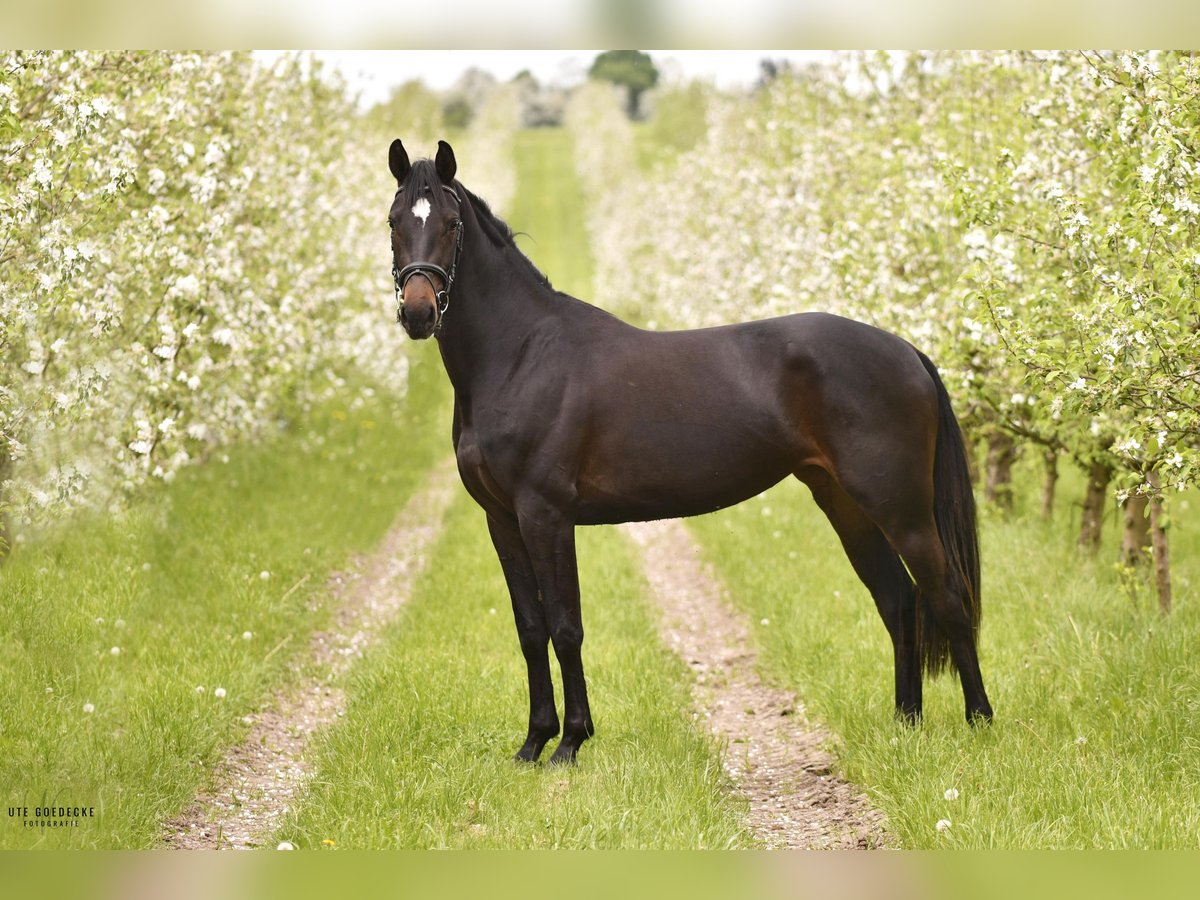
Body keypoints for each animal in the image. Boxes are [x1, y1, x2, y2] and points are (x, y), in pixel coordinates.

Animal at [386, 141, 993, 768]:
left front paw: (571, 741)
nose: (419, 312)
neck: (521, 353)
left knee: (948, 597)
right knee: (898, 601)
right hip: (846, 504)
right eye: (394, 221)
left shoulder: (546, 515)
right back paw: (906, 724)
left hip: (902, 508)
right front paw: (533, 743)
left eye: (451, 224)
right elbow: (531, 629)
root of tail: (905, 350)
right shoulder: (501, 519)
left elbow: (565, 626)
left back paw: (979, 722)